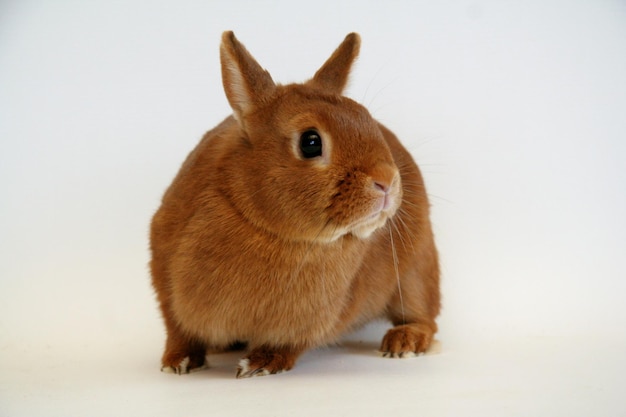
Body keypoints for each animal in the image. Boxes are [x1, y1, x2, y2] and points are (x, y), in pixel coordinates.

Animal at [149, 31, 438, 376]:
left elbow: (288, 345)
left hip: (415, 269)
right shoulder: (167, 285)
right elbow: (178, 330)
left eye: (369, 121)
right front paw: (177, 362)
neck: (263, 226)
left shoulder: (309, 322)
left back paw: (404, 342)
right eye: (311, 142)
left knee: (423, 314)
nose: (387, 180)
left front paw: (260, 364)